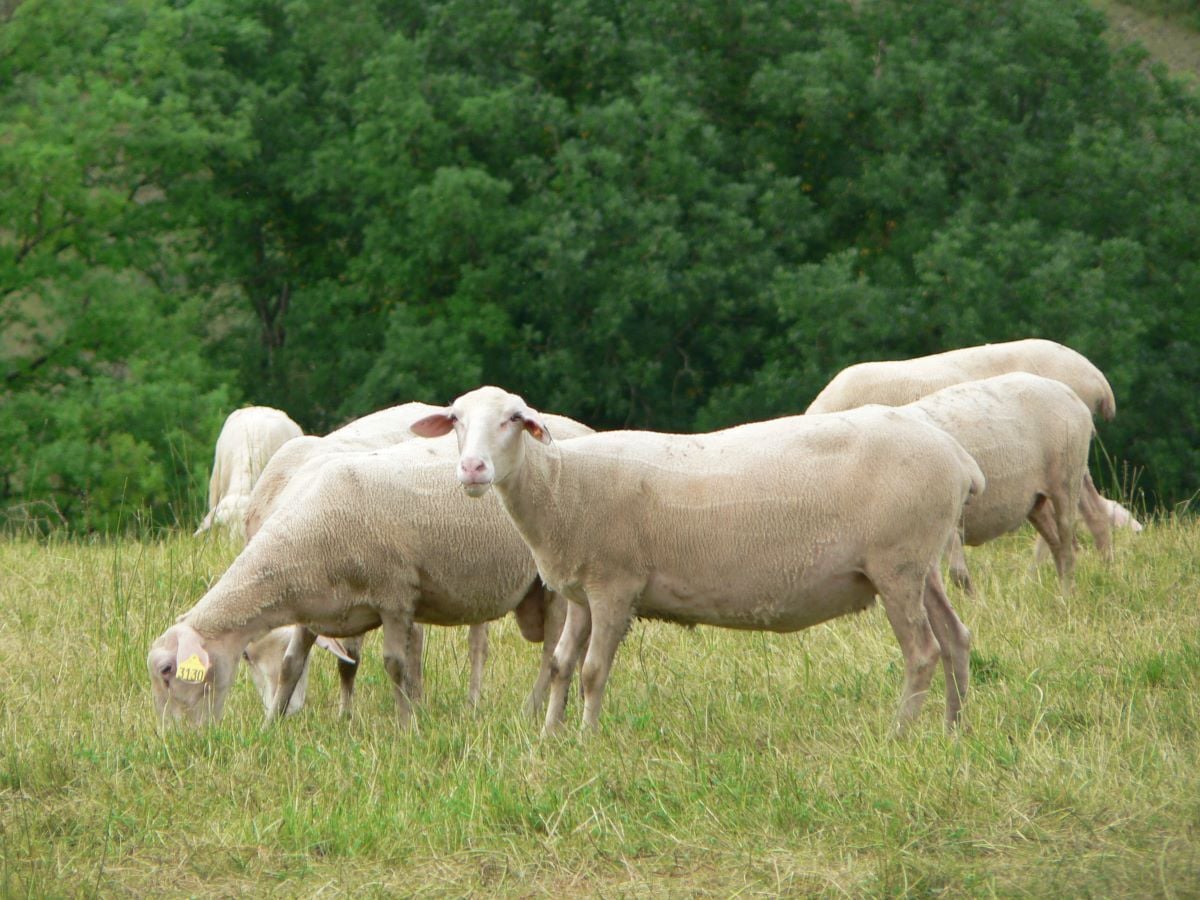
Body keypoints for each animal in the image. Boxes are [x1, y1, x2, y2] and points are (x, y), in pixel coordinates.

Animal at [148, 426, 590, 728]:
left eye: (168, 672)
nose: (174, 740)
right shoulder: (315, 614)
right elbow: (293, 665)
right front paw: (270, 726)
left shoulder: (395, 596)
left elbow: (395, 665)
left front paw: (408, 727)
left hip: (554, 583)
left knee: (550, 652)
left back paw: (532, 711)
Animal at [411, 386, 986, 735]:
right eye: (456, 420)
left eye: (513, 419)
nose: (472, 468)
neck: (562, 488)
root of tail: (959, 458)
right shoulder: (580, 592)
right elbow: (560, 665)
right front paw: (549, 738)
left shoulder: (614, 585)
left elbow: (593, 671)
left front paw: (585, 740)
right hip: (920, 562)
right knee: (956, 637)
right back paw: (954, 729)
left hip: (897, 563)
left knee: (923, 651)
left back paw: (900, 734)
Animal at [891, 373, 1102, 593]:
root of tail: (1071, 394)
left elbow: (958, 575)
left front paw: (974, 601)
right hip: (1035, 500)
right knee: (1056, 544)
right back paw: (1061, 594)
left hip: (1068, 476)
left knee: (1068, 545)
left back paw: (1067, 593)